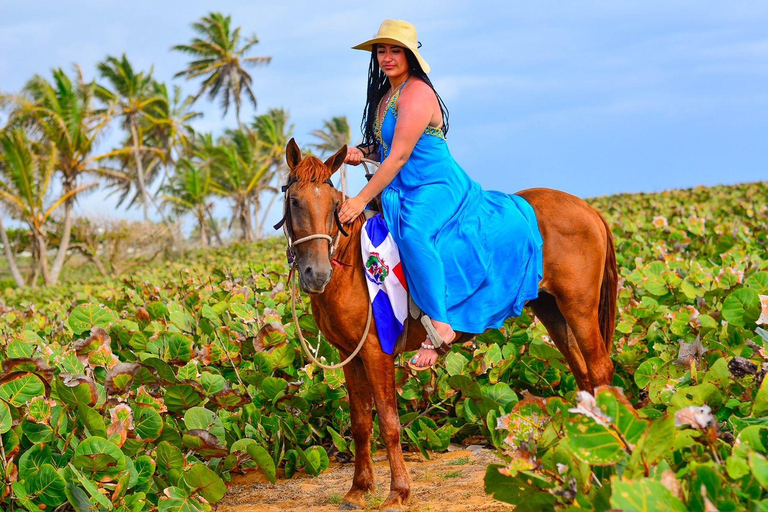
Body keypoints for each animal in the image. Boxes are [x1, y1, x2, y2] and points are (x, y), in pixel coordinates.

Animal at [280, 138, 616, 510]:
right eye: (295, 201)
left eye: (335, 205)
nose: (317, 274)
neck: (352, 262)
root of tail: (587, 209)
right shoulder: (349, 356)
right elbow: (360, 423)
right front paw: (359, 489)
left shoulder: (376, 352)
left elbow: (389, 423)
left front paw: (399, 491)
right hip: (553, 311)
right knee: (583, 376)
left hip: (579, 308)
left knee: (599, 370)